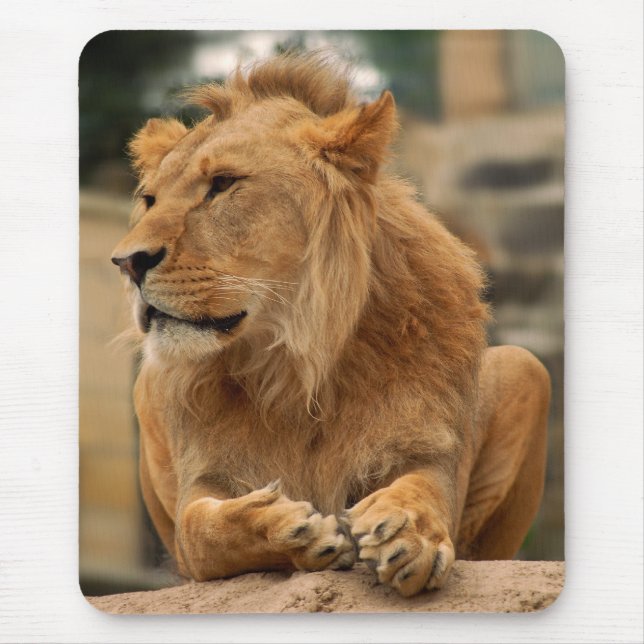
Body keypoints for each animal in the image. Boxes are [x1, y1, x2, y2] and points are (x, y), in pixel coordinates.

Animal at [111, 52, 551, 597]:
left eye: (223, 184)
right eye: (149, 200)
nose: (127, 263)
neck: (297, 366)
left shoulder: (430, 448)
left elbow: (426, 490)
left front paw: (406, 533)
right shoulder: (204, 481)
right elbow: (202, 529)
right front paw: (290, 529)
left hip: (526, 364)